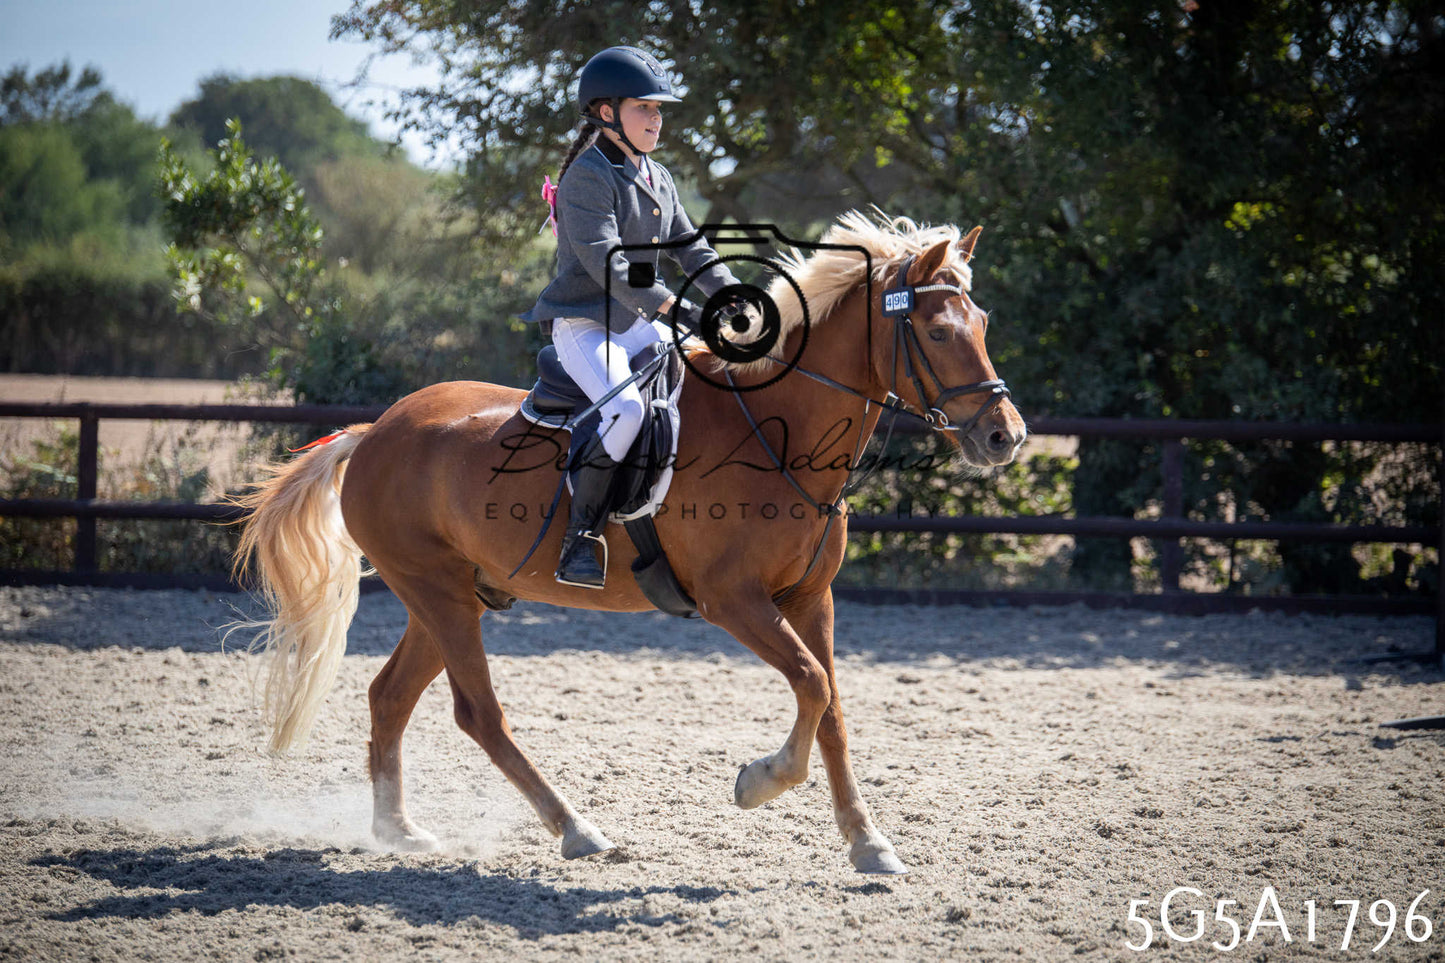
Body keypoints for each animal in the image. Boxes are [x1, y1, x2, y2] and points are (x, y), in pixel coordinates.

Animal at [233, 211, 1027, 875]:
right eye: (936, 332)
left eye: (983, 320)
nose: (1005, 436)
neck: (776, 431)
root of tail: (375, 431)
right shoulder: (733, 600)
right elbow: (809, 682)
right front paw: (757, 782)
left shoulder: (810, 598)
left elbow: (829, 705)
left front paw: (868, 842)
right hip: (439, 594)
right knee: (477, 713)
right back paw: (576, 828)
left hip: (453, 595)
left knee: (391, 696)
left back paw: (399, 830)